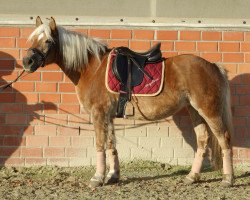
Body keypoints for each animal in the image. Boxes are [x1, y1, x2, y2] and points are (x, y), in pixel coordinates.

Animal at [22, 16, 233, 188]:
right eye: (32, 39)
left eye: (48, 41)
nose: (27, 62)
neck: (92, 69)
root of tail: (212, 66)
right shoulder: (108, 116)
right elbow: (111, 144)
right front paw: (113, 176)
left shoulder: (98, 114)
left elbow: (100, 144)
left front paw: (97, 178)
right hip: (194, 110)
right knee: (203, 140)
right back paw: (192, 177)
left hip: (209, 110)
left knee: (224, 139)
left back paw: (228, 179)